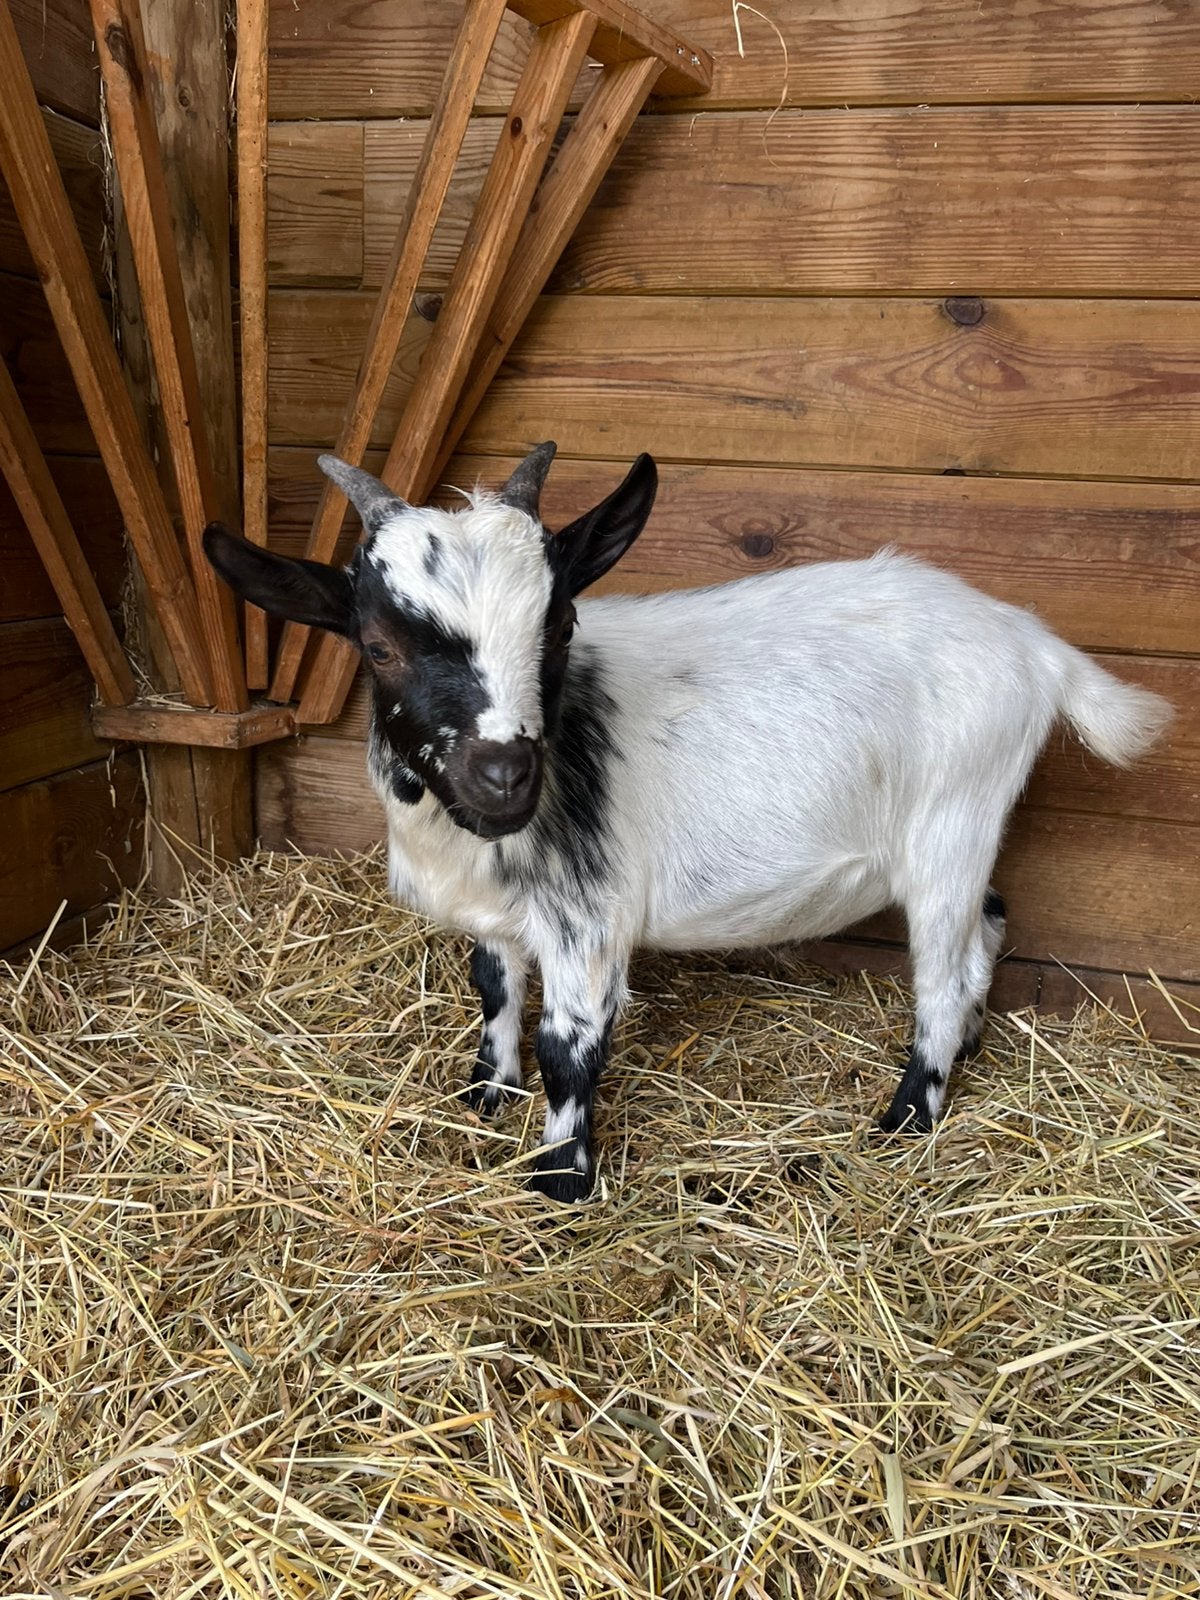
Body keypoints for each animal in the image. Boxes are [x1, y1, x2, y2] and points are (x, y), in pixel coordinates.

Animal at [205, 444, 1172, 1202]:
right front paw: (486, 1096)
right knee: (991, 927)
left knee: (944, 972)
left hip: (951, 825)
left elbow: (568, 1047)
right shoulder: (500, 913)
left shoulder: (587, 918)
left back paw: (907, 1118)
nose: (506, 776)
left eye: (560, 622)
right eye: (378, 645)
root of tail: (1035, 645)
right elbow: (494, 990)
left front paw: (559, 1184)